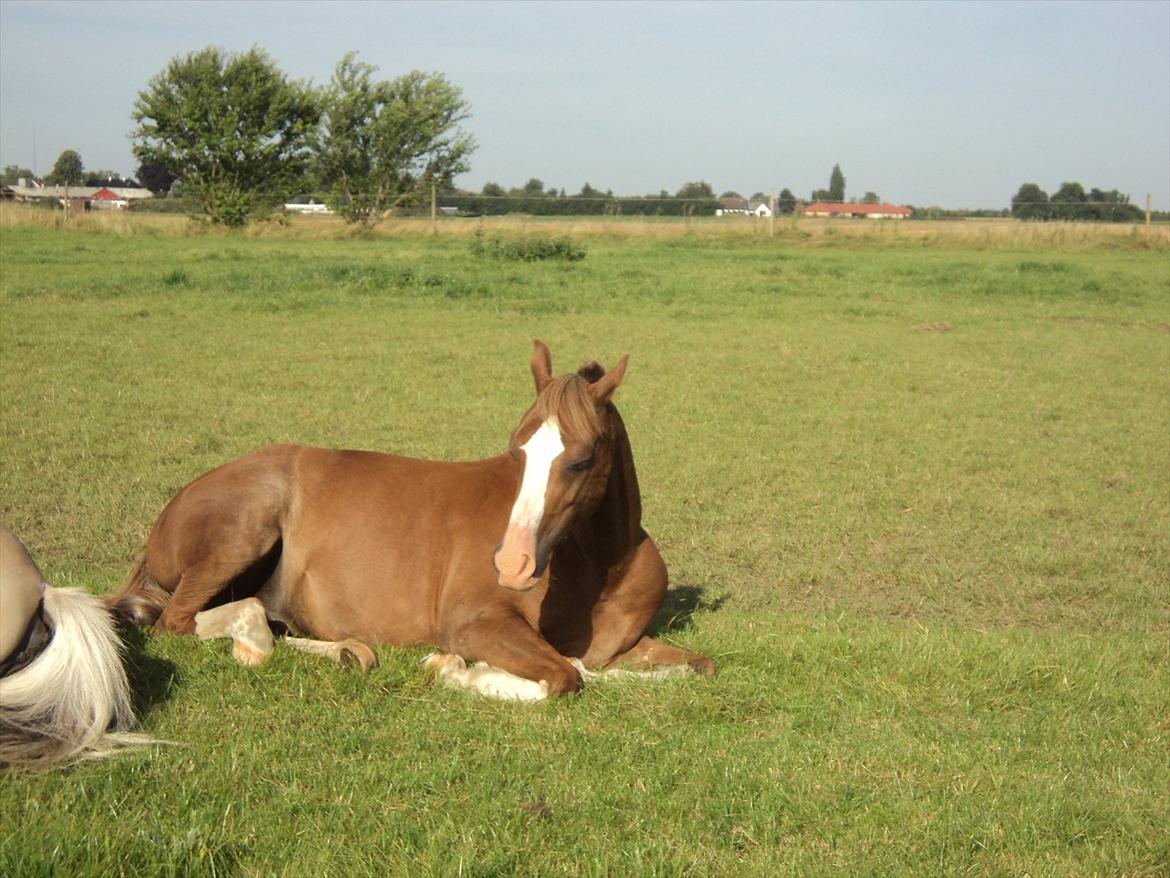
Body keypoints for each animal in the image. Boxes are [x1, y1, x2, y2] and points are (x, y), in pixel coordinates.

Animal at [109, 344, 711, 702]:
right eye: (516, 451)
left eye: (582, 460)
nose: (511, 565)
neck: (598, 570)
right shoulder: (474, 623)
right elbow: (565, 675)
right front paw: (451, 668)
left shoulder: (624, 644)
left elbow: (696, 666)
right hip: (241, 536)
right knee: (181, 621)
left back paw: (347, 652)